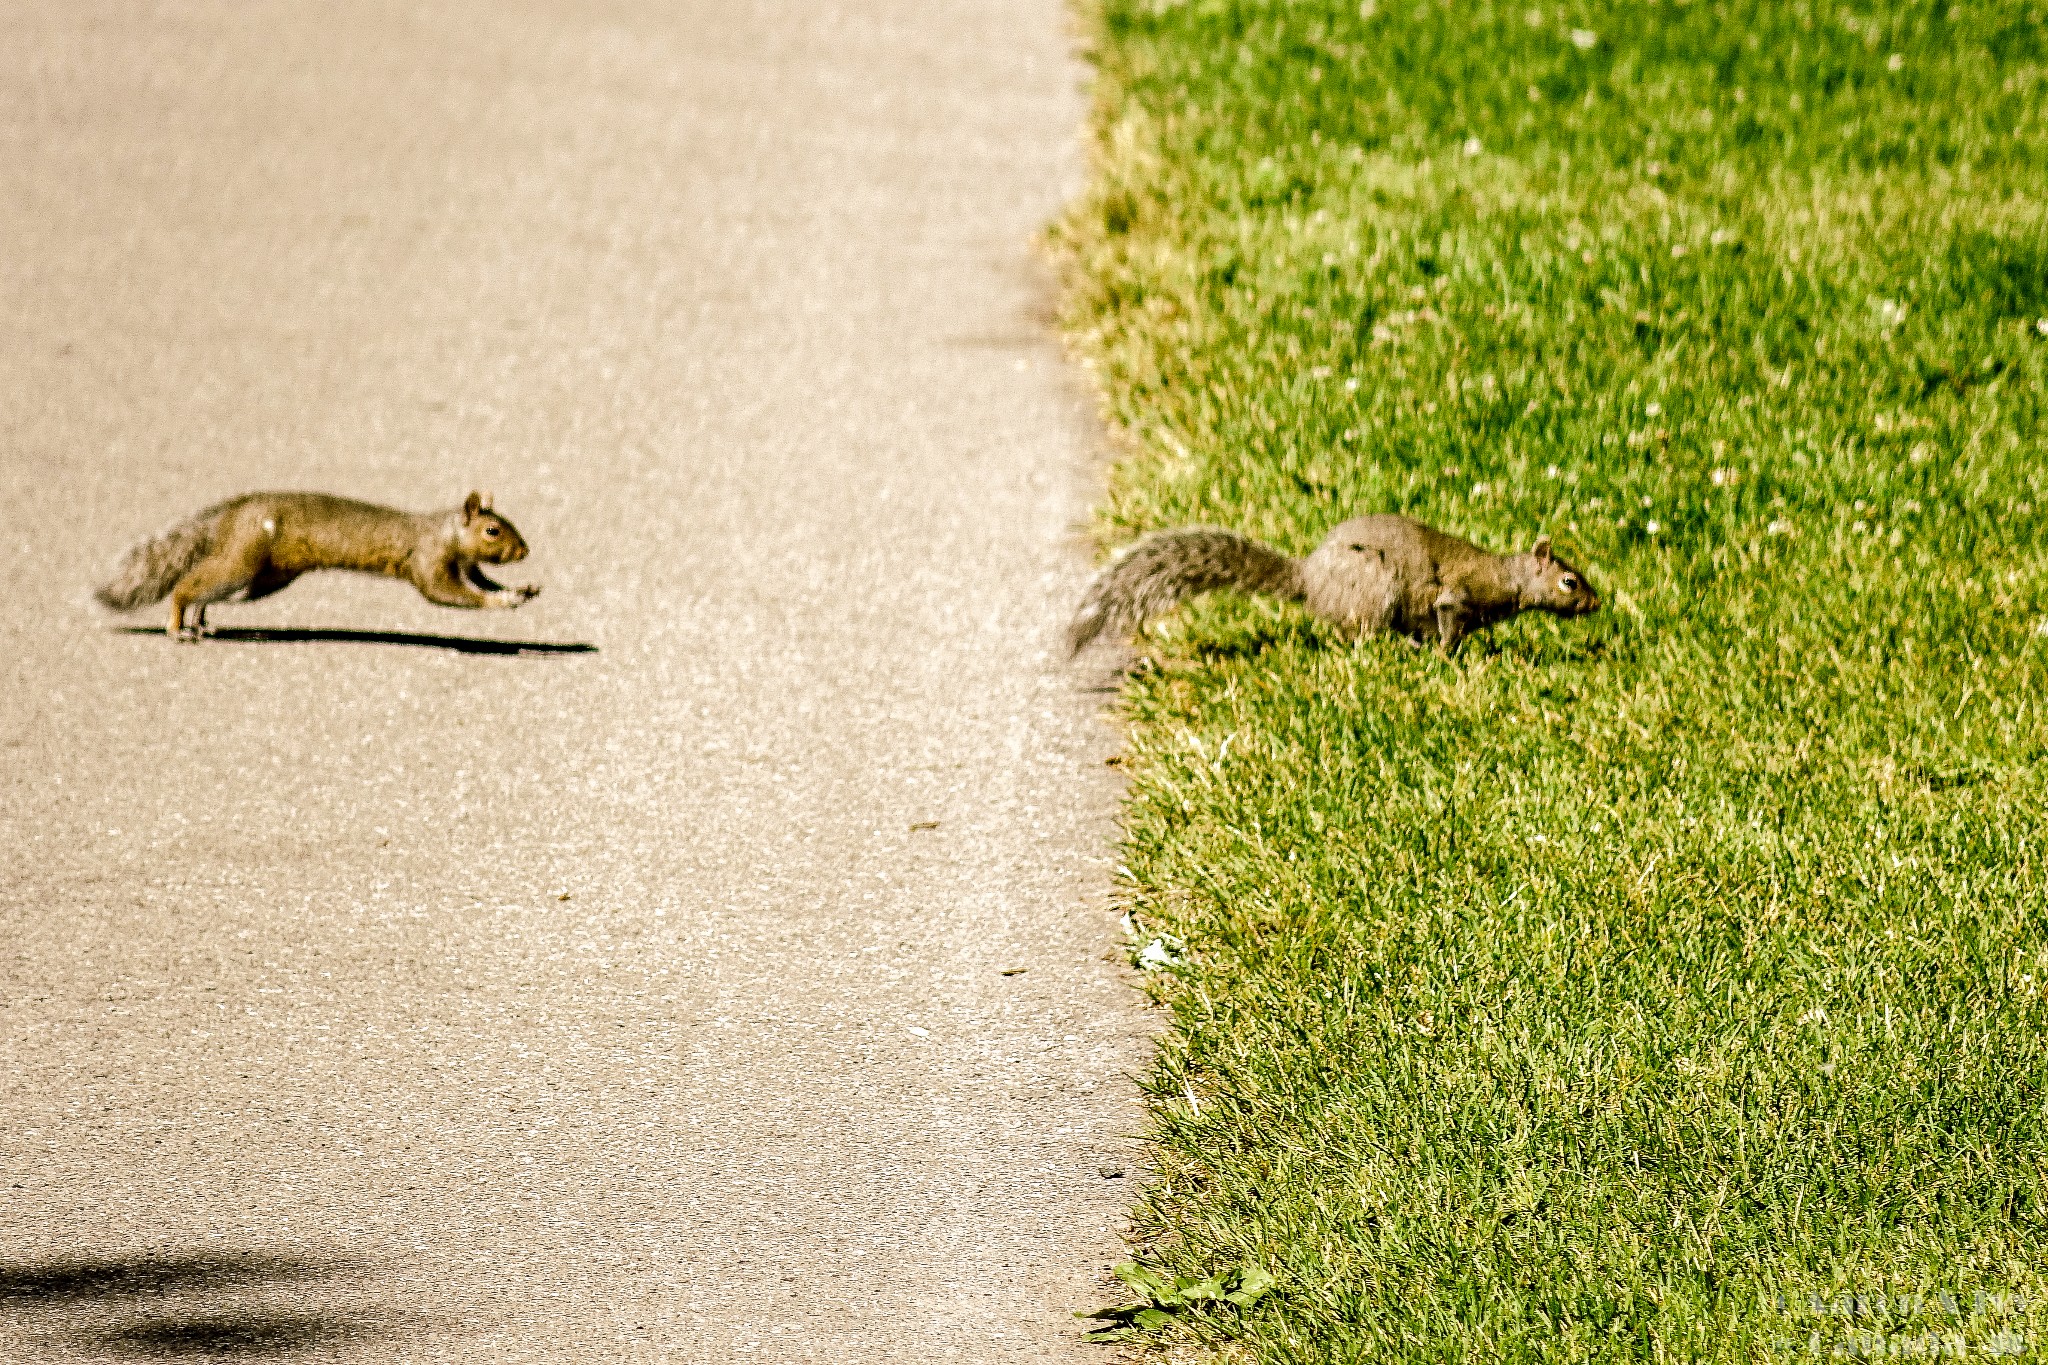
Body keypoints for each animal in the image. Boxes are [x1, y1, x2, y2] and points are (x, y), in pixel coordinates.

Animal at [94, 491, 544, 642]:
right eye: (492, 530)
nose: (524, 551)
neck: (447, 532)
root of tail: (230, 517)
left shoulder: (469, 567)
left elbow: (482, 583)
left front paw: (520, 591)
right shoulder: (429, 559)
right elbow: (447, 594)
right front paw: (503, 602)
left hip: (261, 576)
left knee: (209, 591)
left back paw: (201, 621)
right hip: (243, 560)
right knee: (187, 586)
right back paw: (177, 627)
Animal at [1073, 515, 1597, 658]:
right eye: (1569, 581)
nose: (1595, 603)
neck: (1509, 578)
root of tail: (1311, 581)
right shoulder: (1460, 596)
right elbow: (1450, 625)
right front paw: (1450, 659)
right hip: (1375, 589)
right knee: (1357, 633)